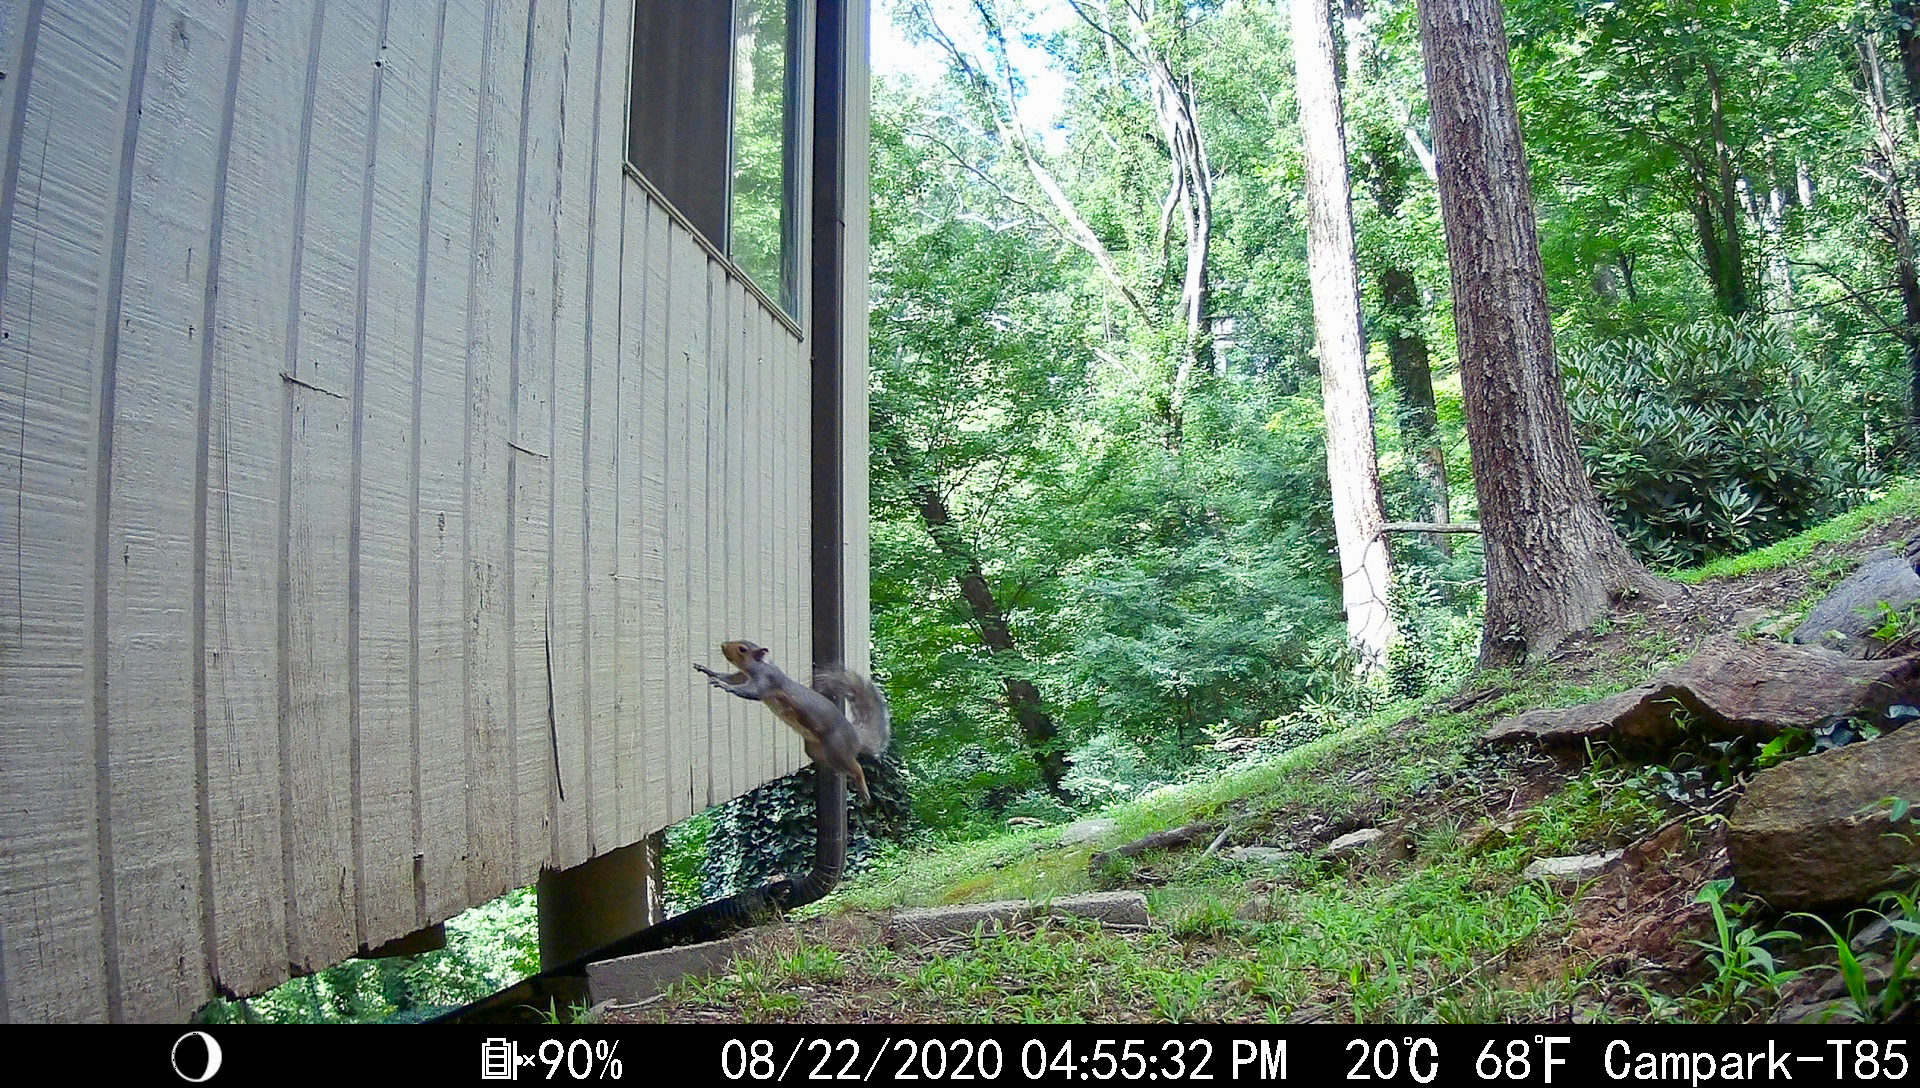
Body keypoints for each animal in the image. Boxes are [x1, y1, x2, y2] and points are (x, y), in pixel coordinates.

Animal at [694, 640, 891, 804]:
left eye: (742, 649)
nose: (723, 645)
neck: (758, 667)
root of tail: (856, 736)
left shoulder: (766, 683)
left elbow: (748, 691)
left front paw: (723, 685)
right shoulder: (741, 676)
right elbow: (728, 676)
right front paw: (706, 669)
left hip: (837, 748)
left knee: (856, 767)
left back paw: (862, 789)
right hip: (816, 751)